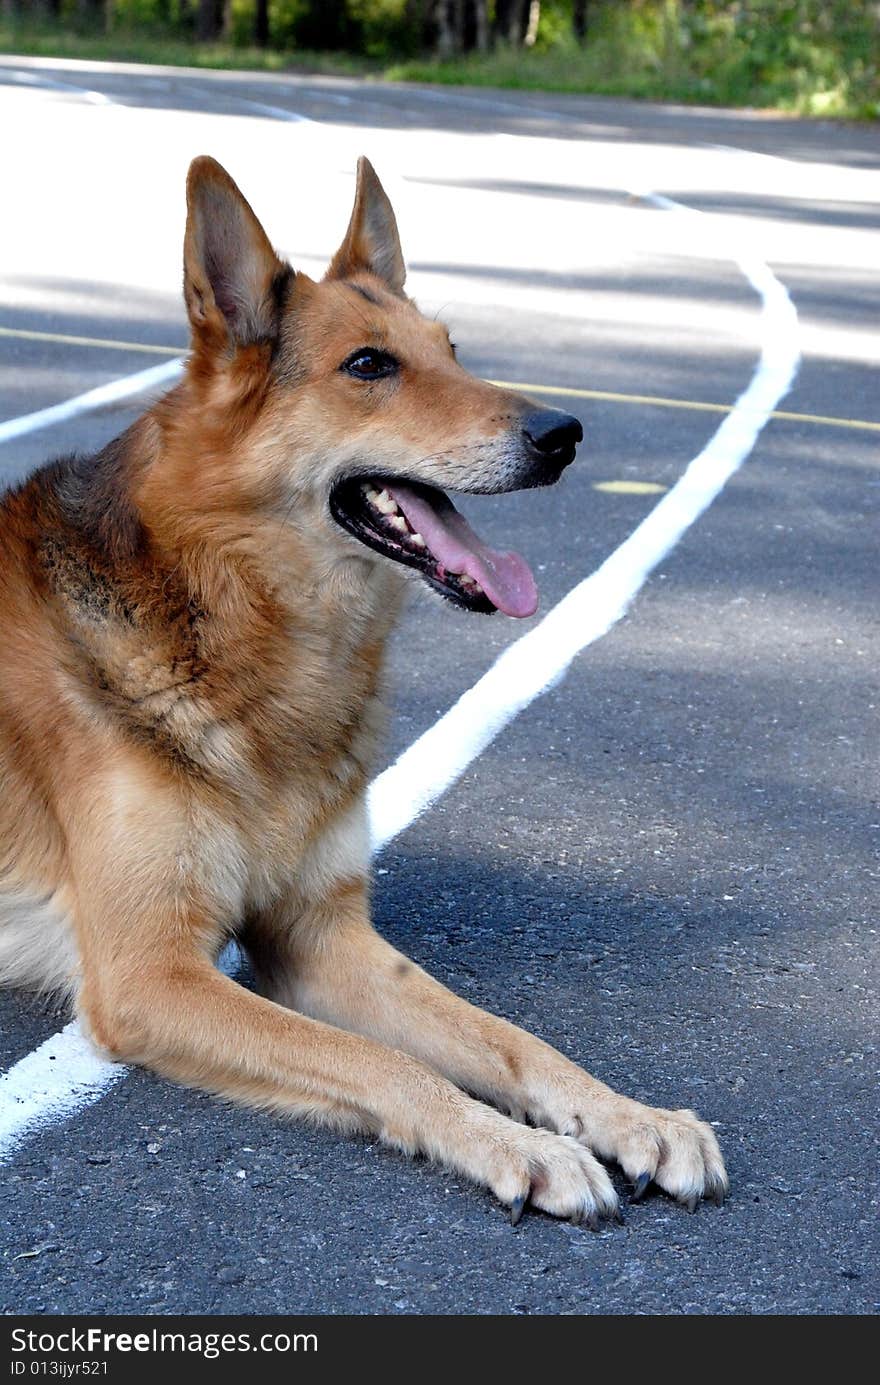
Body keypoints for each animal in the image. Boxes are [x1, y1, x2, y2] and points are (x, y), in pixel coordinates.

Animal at [0, 157, 726, 1229]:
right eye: (370, 366)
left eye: (453, 350)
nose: (565, 433)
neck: (235, 623)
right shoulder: (150, 976)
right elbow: (388, 1063)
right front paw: (518, 1145)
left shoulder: (318, 936)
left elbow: (507, 1035)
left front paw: (629, 1114)